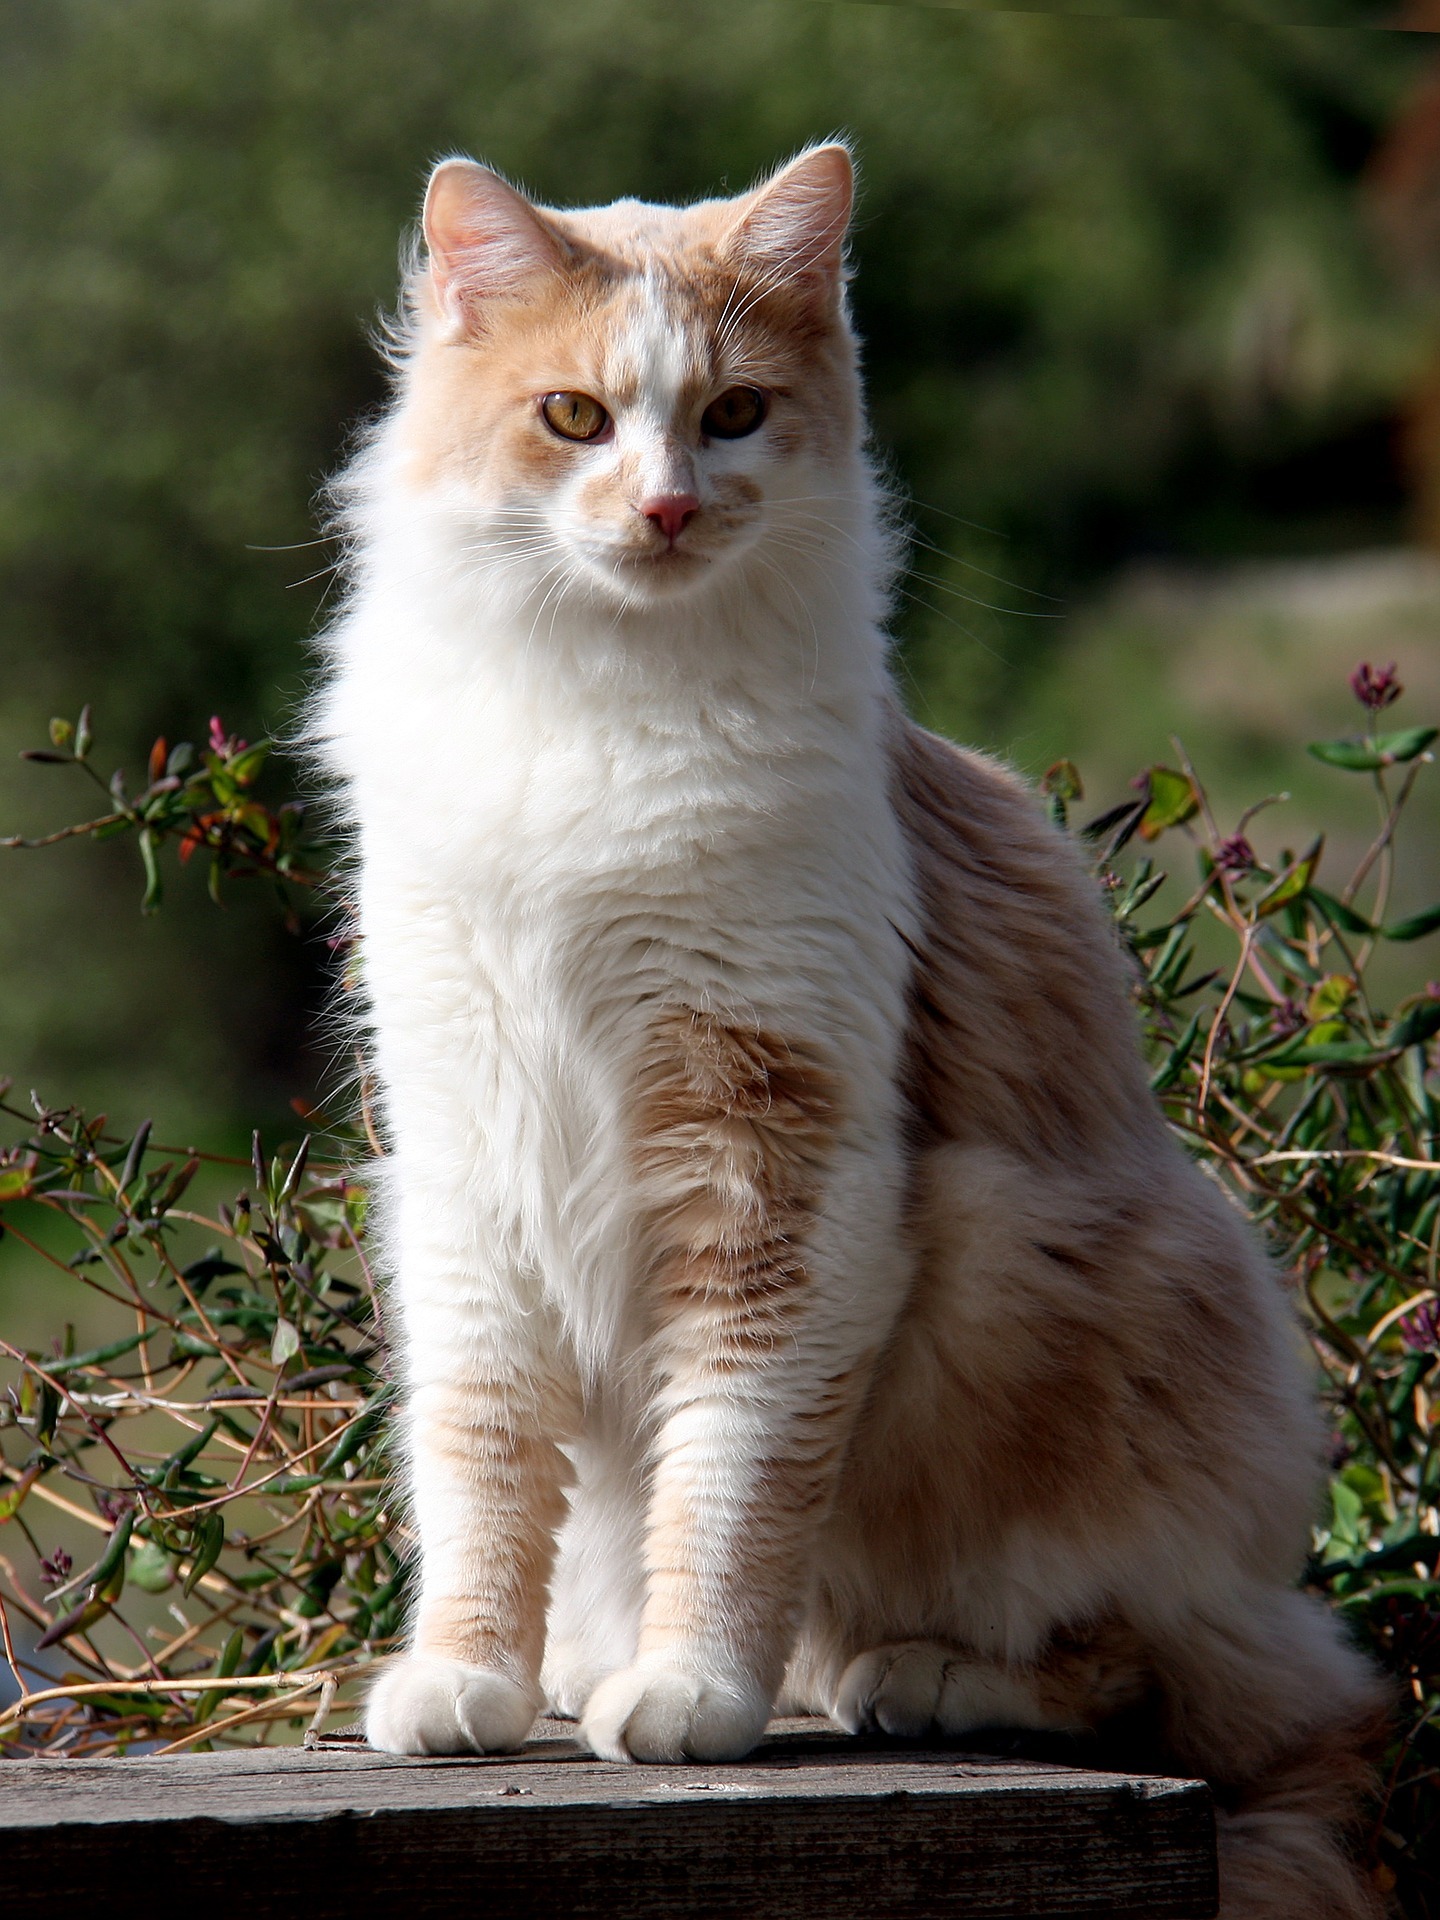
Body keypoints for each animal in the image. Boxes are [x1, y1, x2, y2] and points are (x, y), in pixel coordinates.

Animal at [312, 149, 1390, 1920]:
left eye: (736, 416)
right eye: (572, 419)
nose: (669, 509)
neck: (602, 707)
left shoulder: (786, 1160)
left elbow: (734, 1470)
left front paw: (692, 1688)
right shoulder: (465, 1157)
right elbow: (481, 1461)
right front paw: (470, 1677)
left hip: (1037, 1269)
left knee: (1148, 1669)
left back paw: (902, 1675)